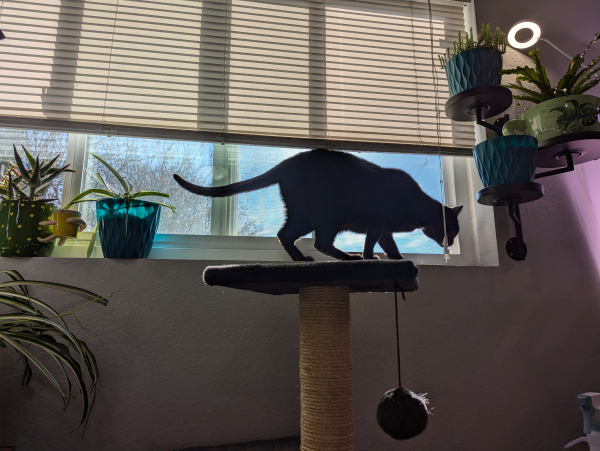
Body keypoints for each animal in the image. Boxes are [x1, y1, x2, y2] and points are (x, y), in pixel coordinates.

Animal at [173, 148, 464, 262]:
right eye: (451, 230)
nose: (450, 243)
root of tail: (286, 163)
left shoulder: (384, 230)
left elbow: (389, 247)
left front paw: (399, 261)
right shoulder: (376, 223)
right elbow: (370, 244)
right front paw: (370, 258)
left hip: (304, 216)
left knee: (285, 234)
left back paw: (300, 260)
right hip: (328, 216)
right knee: (319, 241)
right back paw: (348, 257)